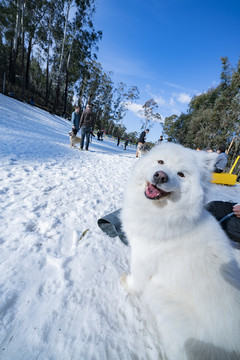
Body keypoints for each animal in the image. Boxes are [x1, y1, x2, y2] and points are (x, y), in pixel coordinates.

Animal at [122, 143, 240, 360]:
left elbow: (137, 281)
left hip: (162, 299)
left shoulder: (143, 259)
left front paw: (127, 283)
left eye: (181, 174)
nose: (160, 176)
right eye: (160, 161)